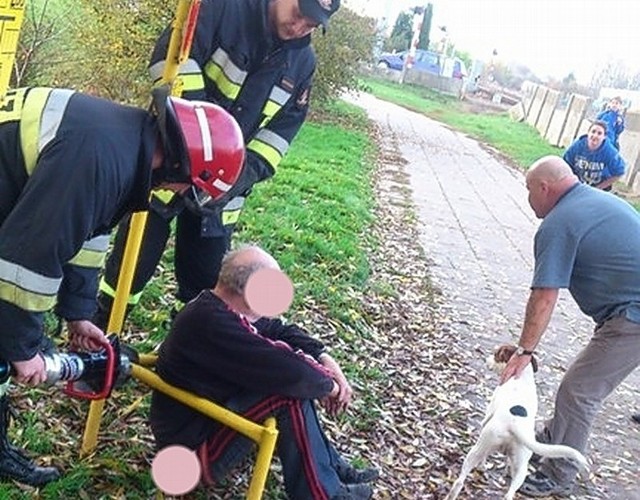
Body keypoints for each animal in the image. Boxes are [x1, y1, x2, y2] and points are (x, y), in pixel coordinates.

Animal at [444, 346, 592, 498]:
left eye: (496, 355)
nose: (486, 360)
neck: (522, 377)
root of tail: (514, 424)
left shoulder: (486, 420)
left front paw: (482, 467)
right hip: (521, 466)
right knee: (509, 493)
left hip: (478, 449)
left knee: (460, 480)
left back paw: (452, 494)